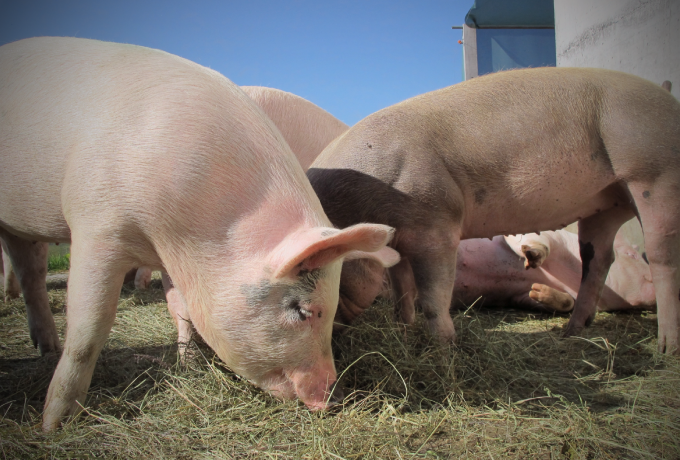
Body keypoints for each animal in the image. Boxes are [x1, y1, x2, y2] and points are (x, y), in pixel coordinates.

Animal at [0, 36, 398, 432]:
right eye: (303, 311)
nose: (334, 397)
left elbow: (182, 308)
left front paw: (188, 363)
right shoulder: (97, 225)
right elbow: (89, 329)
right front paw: (54, 425)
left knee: (30, 270)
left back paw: (46, 346)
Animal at [308, 67, 680, 356]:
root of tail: (667, 97)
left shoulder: (435, 223)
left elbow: (432, 295)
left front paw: (444, 348)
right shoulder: (399, 238)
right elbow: (403, 290)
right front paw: (404, 329)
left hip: (654, 172)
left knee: (662, 255)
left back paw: (665, 350)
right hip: (606, 204)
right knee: (598, 259)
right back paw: (572, 331)